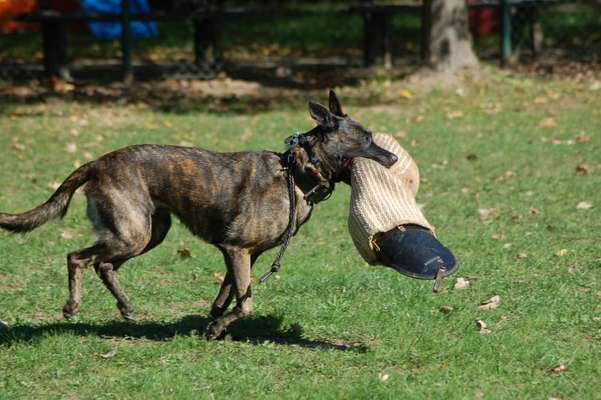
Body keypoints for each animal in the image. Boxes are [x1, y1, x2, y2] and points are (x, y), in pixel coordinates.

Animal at [0, 90, 396, 338]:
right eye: (366, 139)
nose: (392, 158)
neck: (298, 172)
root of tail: (97, 162)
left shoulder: (243, 256)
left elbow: (229, 294)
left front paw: (213, 322)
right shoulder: (237, 250)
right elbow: (246, 302)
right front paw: (218, 327)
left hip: (149, 233)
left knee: (103, 265)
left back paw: (125, 307)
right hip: (133, 234)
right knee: (77, 258)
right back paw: (72, 306)